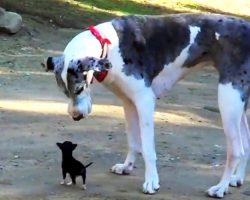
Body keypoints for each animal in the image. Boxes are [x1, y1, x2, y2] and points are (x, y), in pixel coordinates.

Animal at [45, 13, 250, 198]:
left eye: (79, 89)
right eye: (65, 93)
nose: (76, 116)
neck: (108, 46)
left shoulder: (145, 102)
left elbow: (148, 149)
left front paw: (151, 181)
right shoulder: (129, 103)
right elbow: (133, 141)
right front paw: (127, 166)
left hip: (228, 102)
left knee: (236, 151)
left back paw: (221, 188)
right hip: (238, 106)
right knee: (246, 144)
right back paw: (236, 179)